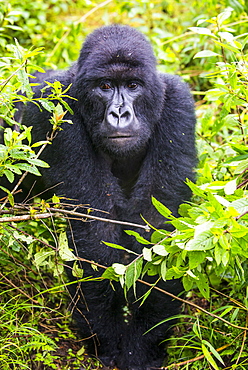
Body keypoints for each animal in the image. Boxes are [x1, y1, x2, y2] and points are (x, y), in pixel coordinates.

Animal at [10, 25, 196, 370]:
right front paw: (106, 339)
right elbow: (94, 234)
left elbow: (158, 230)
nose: (120, 113)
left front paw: (142, 345)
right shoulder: (59, 107)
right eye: (105, 86)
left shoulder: (179, 104)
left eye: (133, 86)